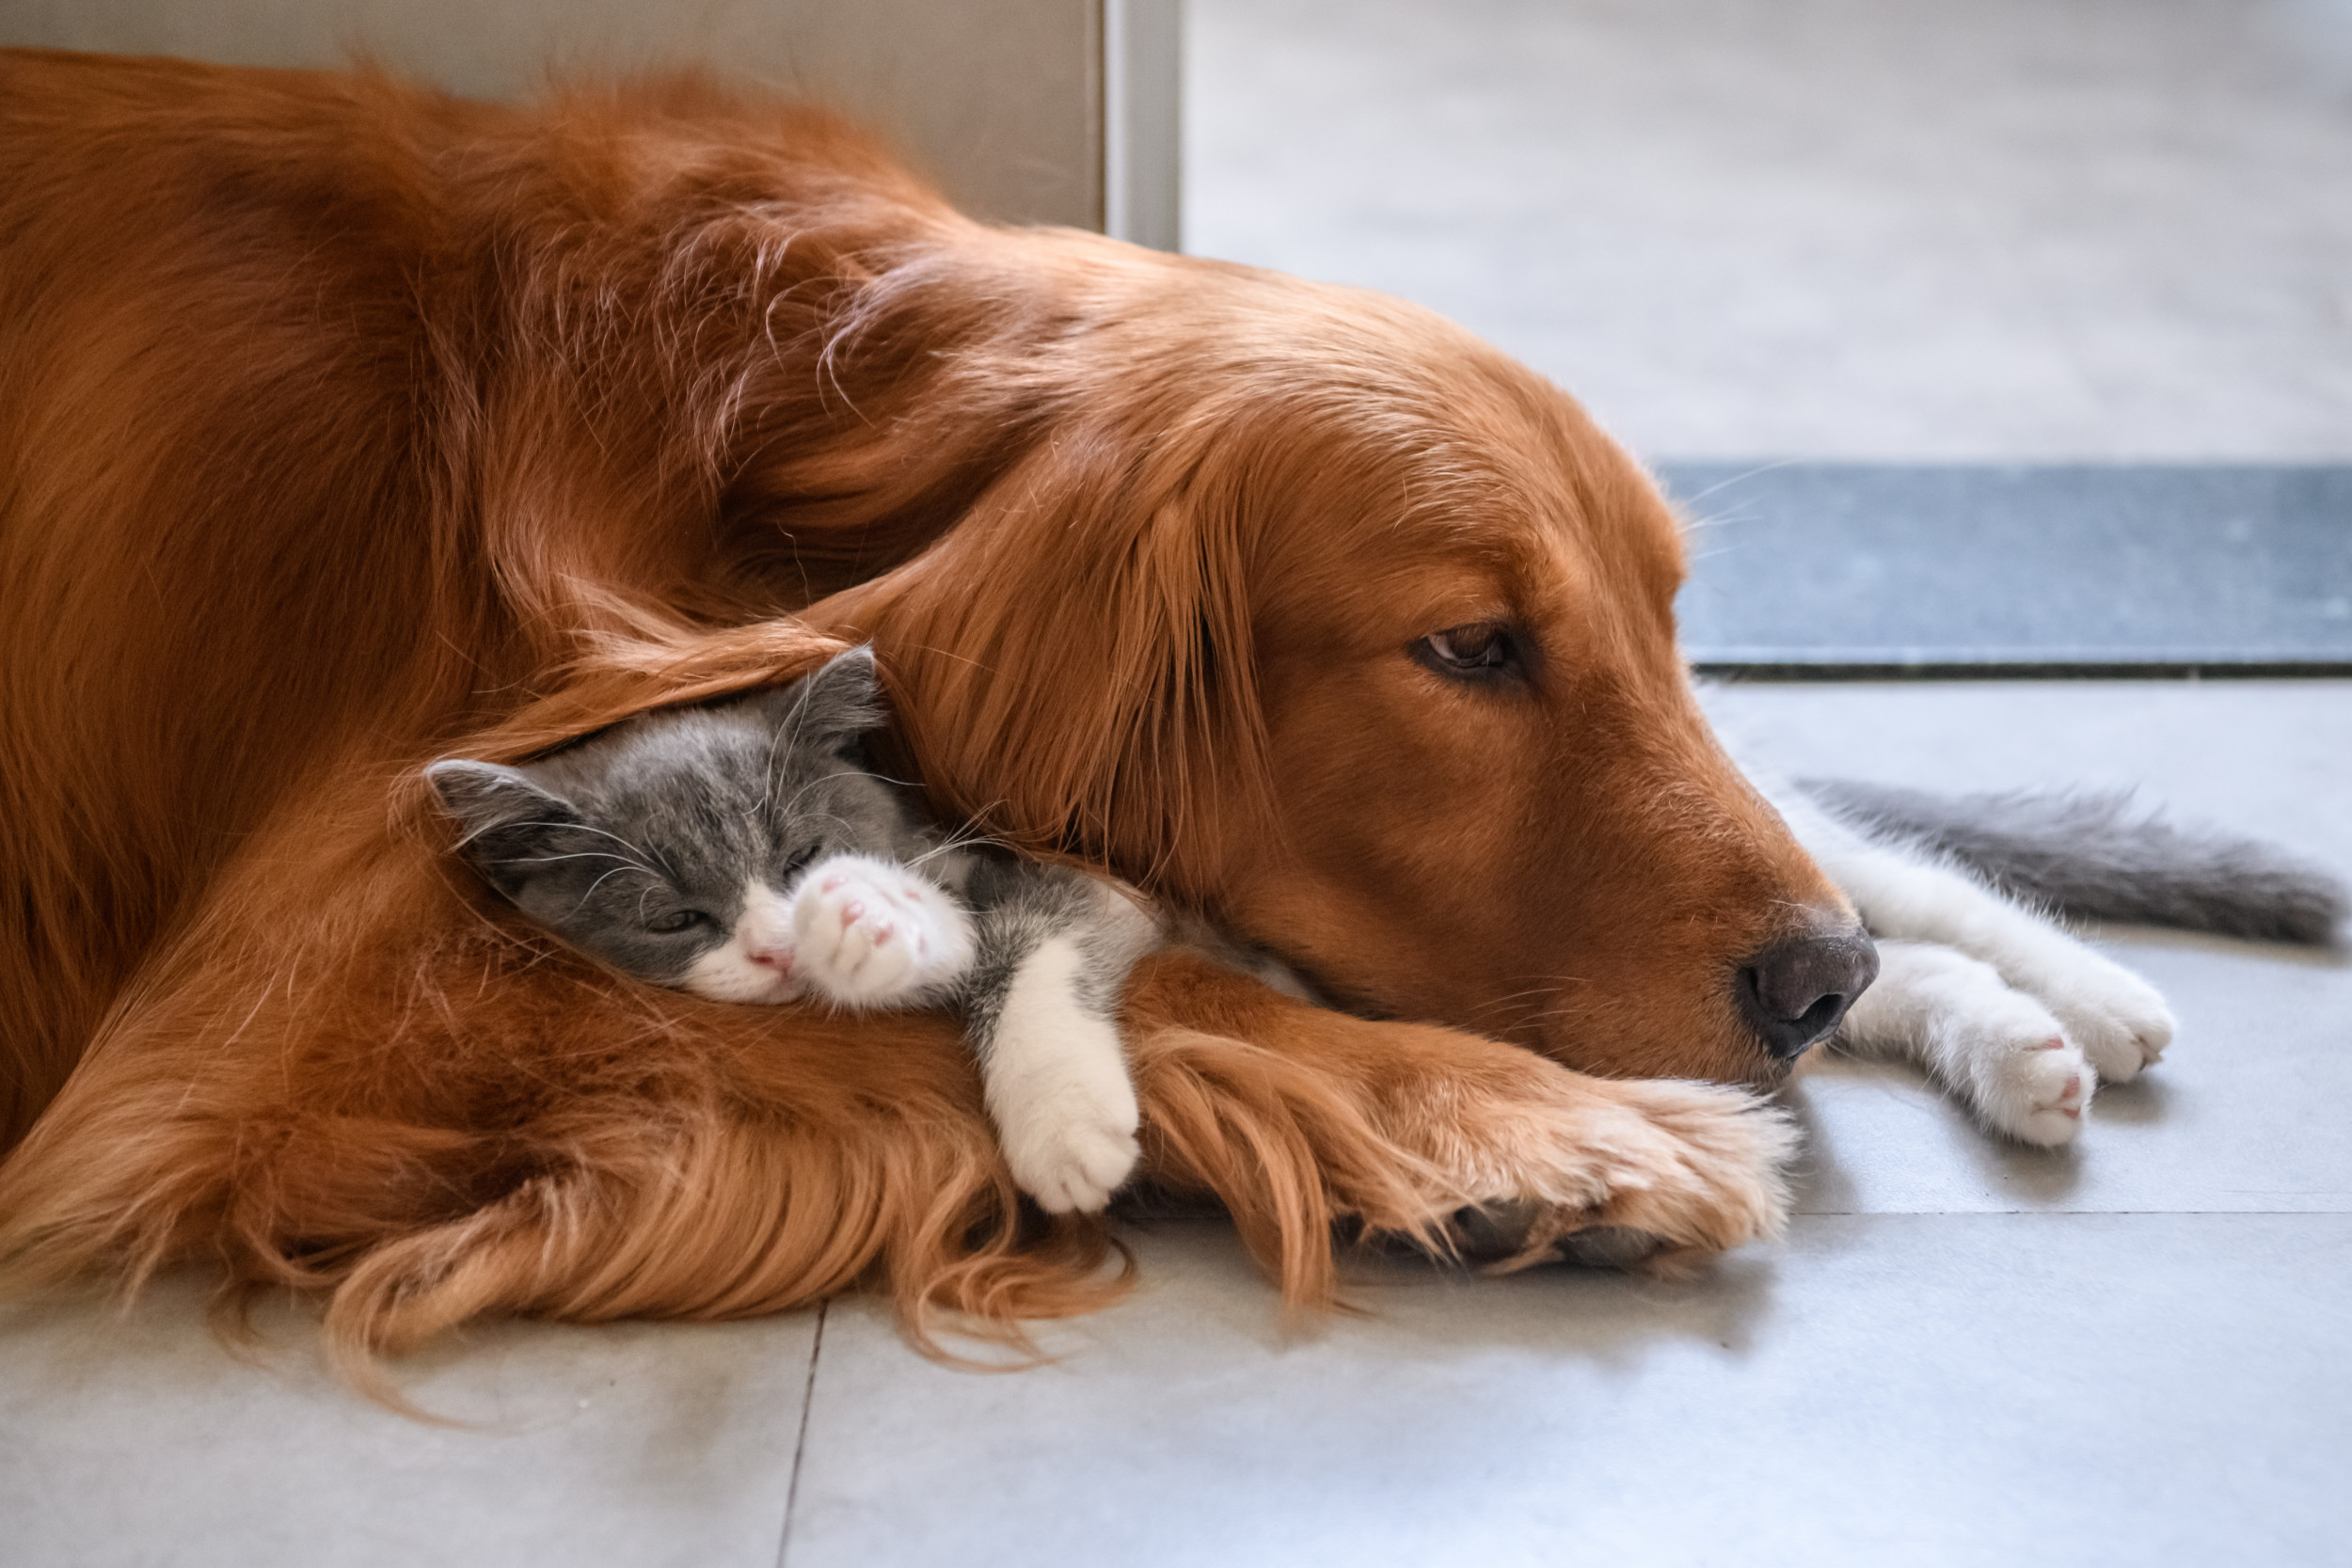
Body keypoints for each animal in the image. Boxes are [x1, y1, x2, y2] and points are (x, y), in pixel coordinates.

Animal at [430, 648, 1157, 1212]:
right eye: (674, 919)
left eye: (803, 857)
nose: (778, 949)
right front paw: (869, 929)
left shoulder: (1105, 882)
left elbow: (1044, 922)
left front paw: (1063, 1121)